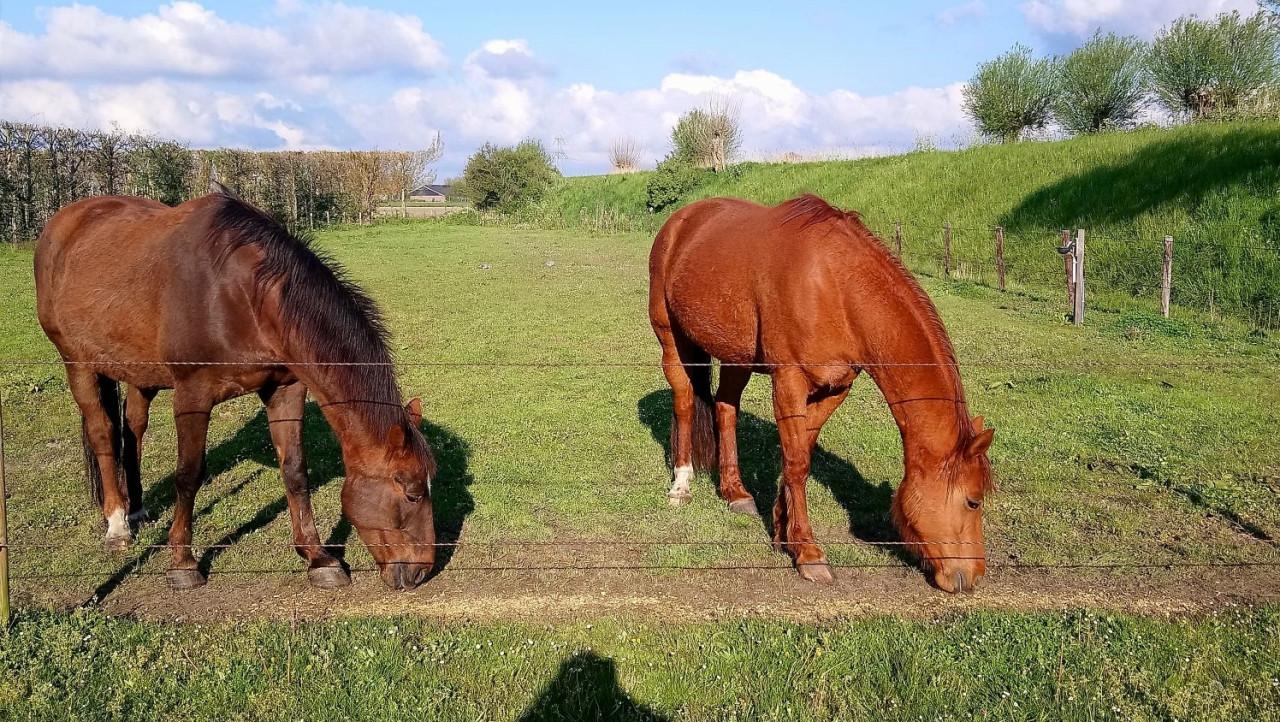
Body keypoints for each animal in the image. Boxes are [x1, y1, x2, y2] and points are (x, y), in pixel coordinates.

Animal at [34, 190, 437, 591]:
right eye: (412, 493)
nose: (422, 570)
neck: (242, 295)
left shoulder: (285, 389)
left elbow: (295, 471)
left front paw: (319, 558)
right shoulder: (192, 395)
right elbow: (188, 474)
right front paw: (183, 563)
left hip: (139, 373)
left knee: (133, 428)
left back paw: (137, 509)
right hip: (77, 364)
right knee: (103, 433)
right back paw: (118, 525)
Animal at [648, 195, 994, 593]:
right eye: (973, 502)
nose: (972, 577)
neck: (835, 285)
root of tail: (680, 221)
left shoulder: (835, 388)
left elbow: (800, 454)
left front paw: (782, 530)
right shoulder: (788, 382)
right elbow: (797, 463)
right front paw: (809, 553)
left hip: (737, 355)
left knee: (725, 407)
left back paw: (736, 492)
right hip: (671, 340)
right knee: (685, 402)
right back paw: (681, 485)